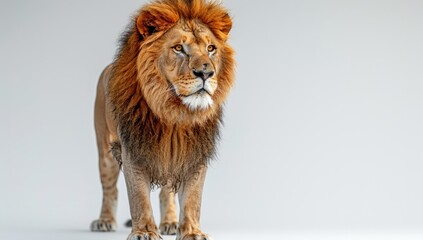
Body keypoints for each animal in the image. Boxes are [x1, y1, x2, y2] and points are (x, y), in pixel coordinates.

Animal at [90, 0, 235, 239]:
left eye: (210, 48)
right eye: (178, 48)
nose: (206, 73)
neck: (174, 113)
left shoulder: (194, 153)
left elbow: (192, 198)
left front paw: (191, 232)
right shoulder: (133, 151)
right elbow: (139, 197)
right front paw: (145, 232)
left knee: (166, 191)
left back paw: (170, 222)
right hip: (105, 149)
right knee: (110, 188)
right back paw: (104, 221)